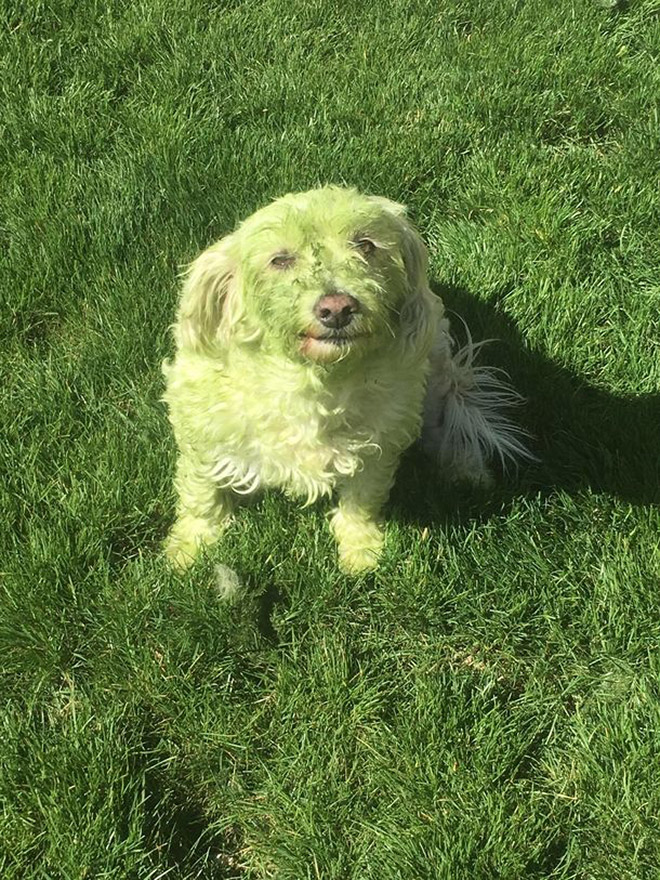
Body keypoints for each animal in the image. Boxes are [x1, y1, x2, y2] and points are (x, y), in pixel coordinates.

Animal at [162, 186, 528, 576]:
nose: (337, 308)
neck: (314, 381)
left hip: (434, 381)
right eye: (280, 259)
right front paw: (190, 548)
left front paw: (361, 550)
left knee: (447, 423)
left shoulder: (377, 449)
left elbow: (361, 502)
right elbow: (201, 495)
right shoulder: (201, 437)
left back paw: (467, 471)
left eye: (366, 245)